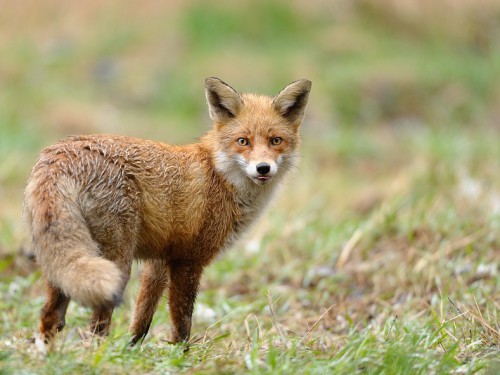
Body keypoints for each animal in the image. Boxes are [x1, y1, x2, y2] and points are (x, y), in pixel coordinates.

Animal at [25, 77, 312, 346]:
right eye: (243, 141)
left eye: (276, 141)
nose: (263, 168)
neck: (219, 174)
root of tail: (60, 154)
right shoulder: (188, 261)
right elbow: (182, 323)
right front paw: (181, 356)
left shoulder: (161, 260)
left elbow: (142, 318)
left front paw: (132, 351)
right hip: (118, 262)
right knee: (95, 326)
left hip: (63, 260)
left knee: (50, 316)